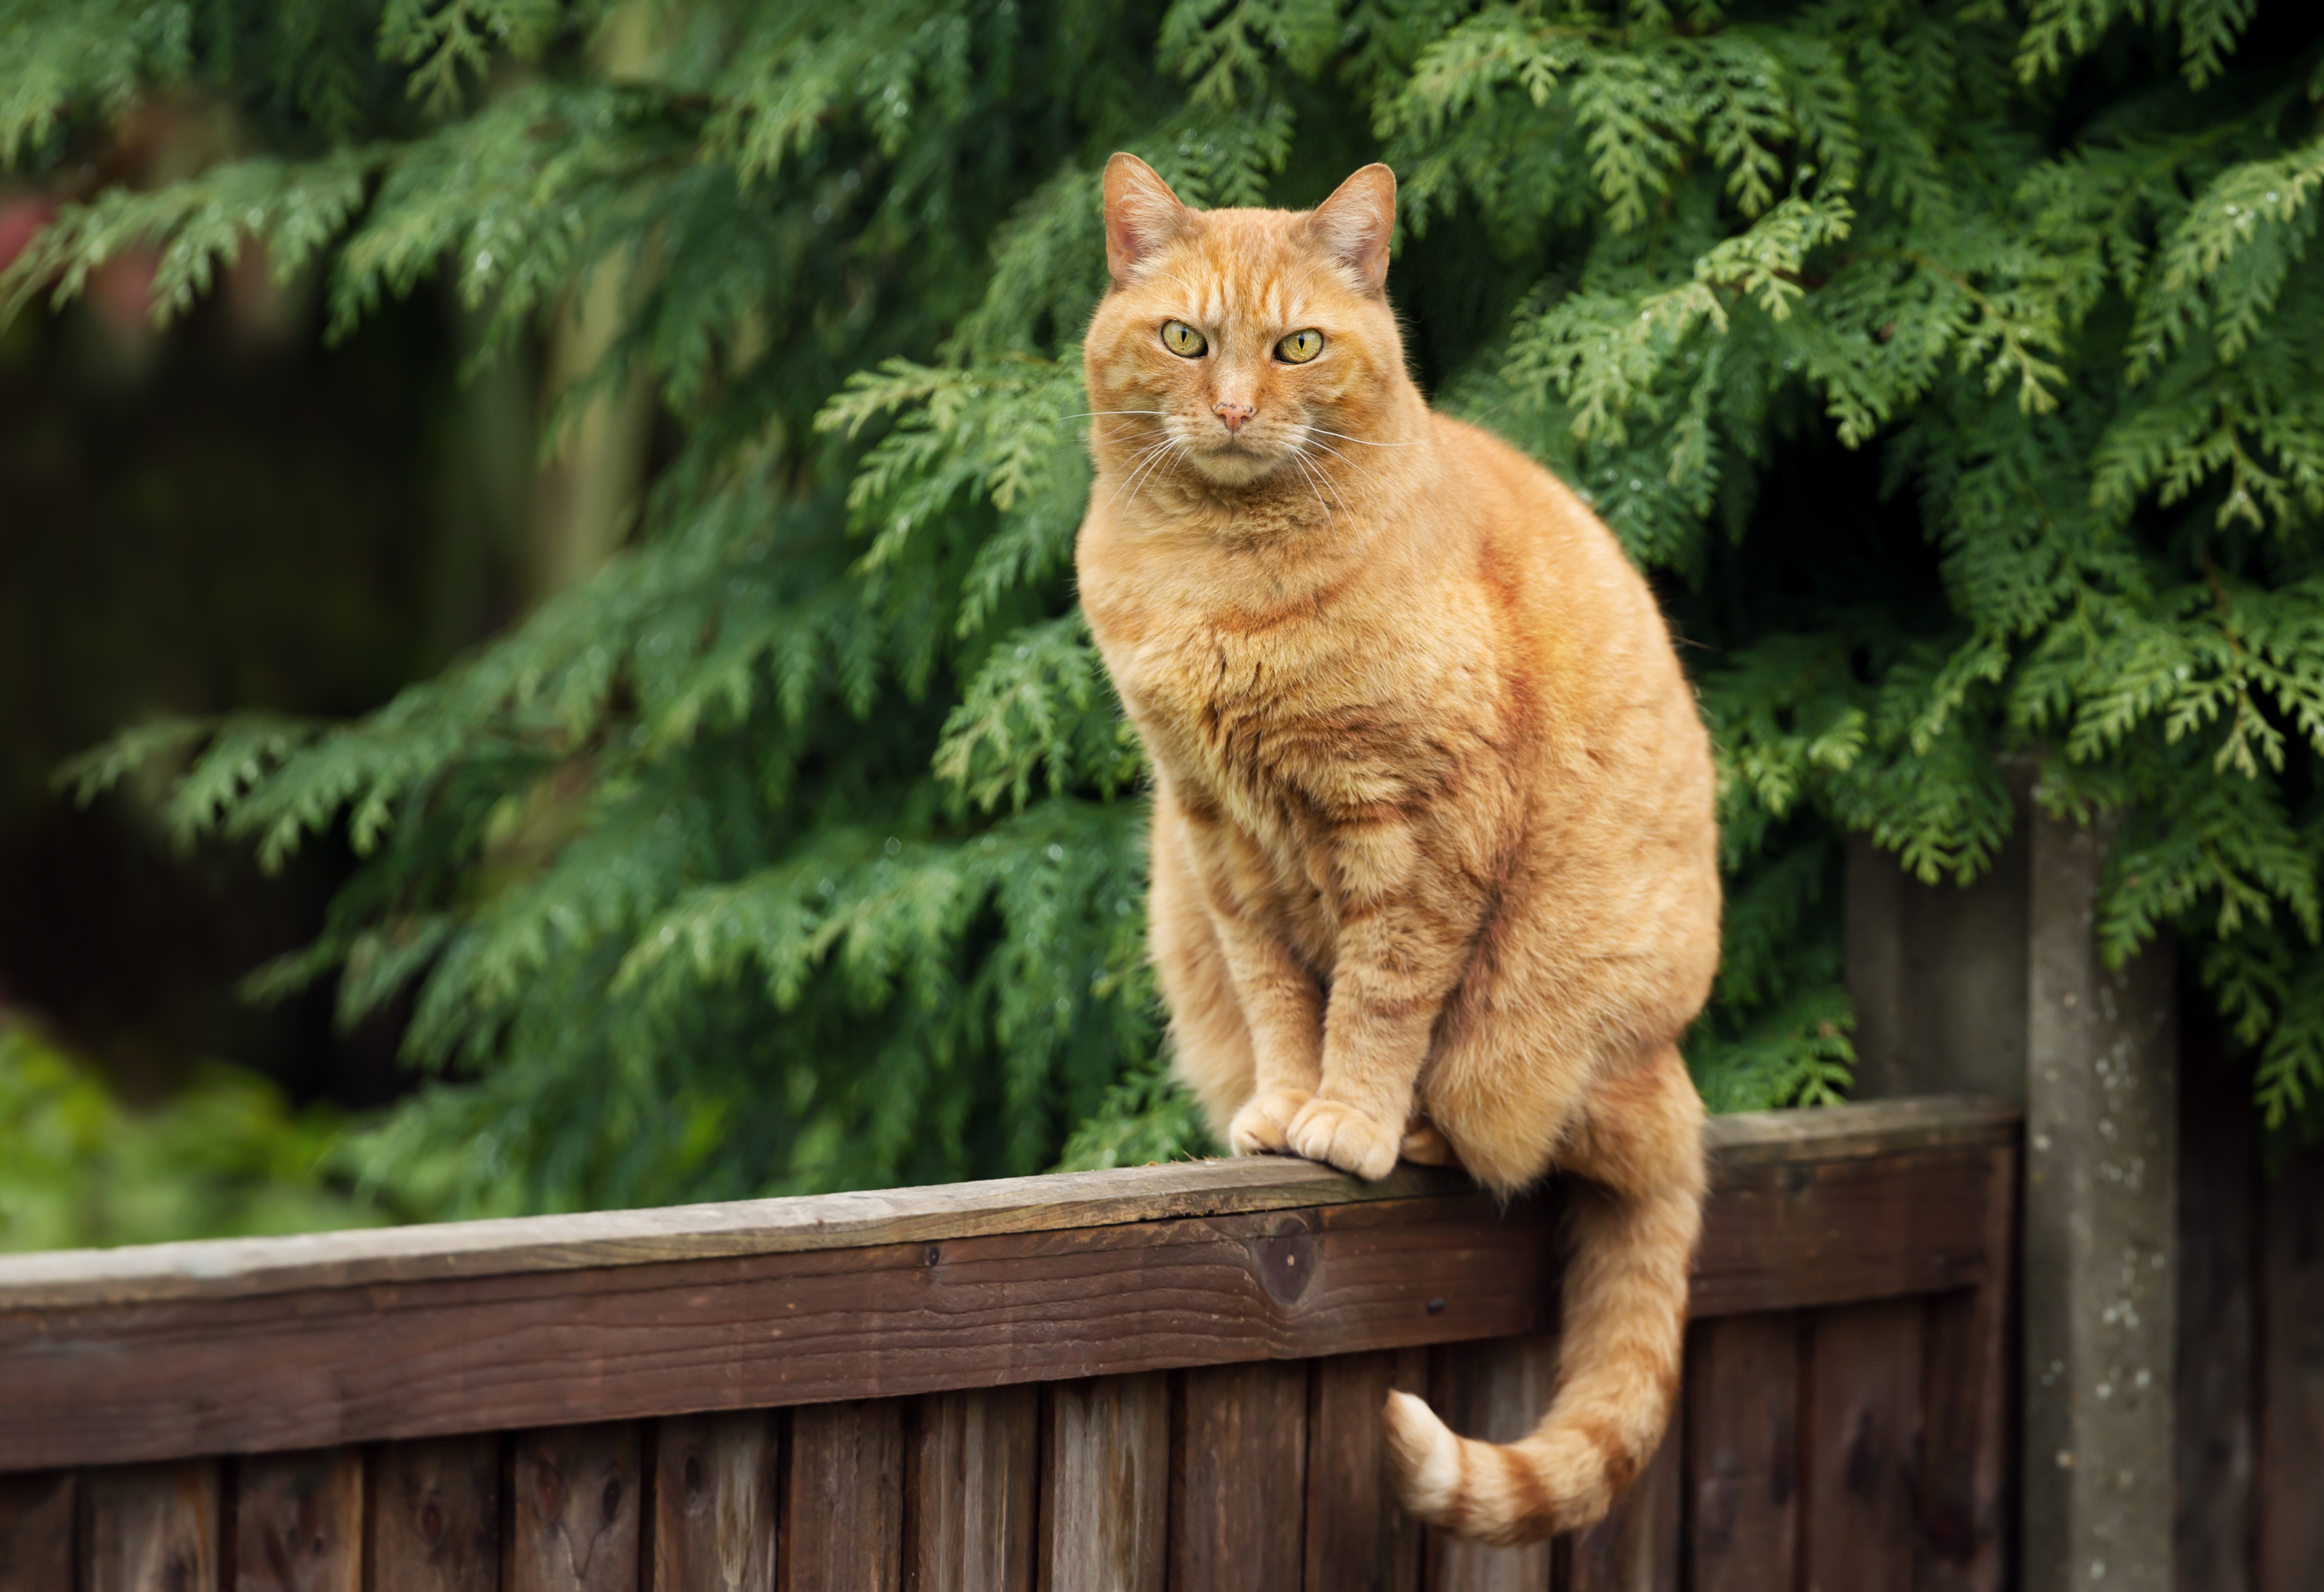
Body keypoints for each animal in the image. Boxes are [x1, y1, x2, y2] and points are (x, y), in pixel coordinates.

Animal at [1074, 152, 1729, 1543]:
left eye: (1299, 346)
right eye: (1185, 338)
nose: (1230, 407)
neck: (1219, 577)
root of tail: (1674, 1075)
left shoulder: (1414, 832)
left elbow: (1376, 1001)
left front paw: (1349, 1119)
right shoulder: (1218, 841)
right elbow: (1281, 994)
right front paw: (1283, 1107)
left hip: (1523, 1038)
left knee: (1500, 1125)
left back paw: (1420, 1131)